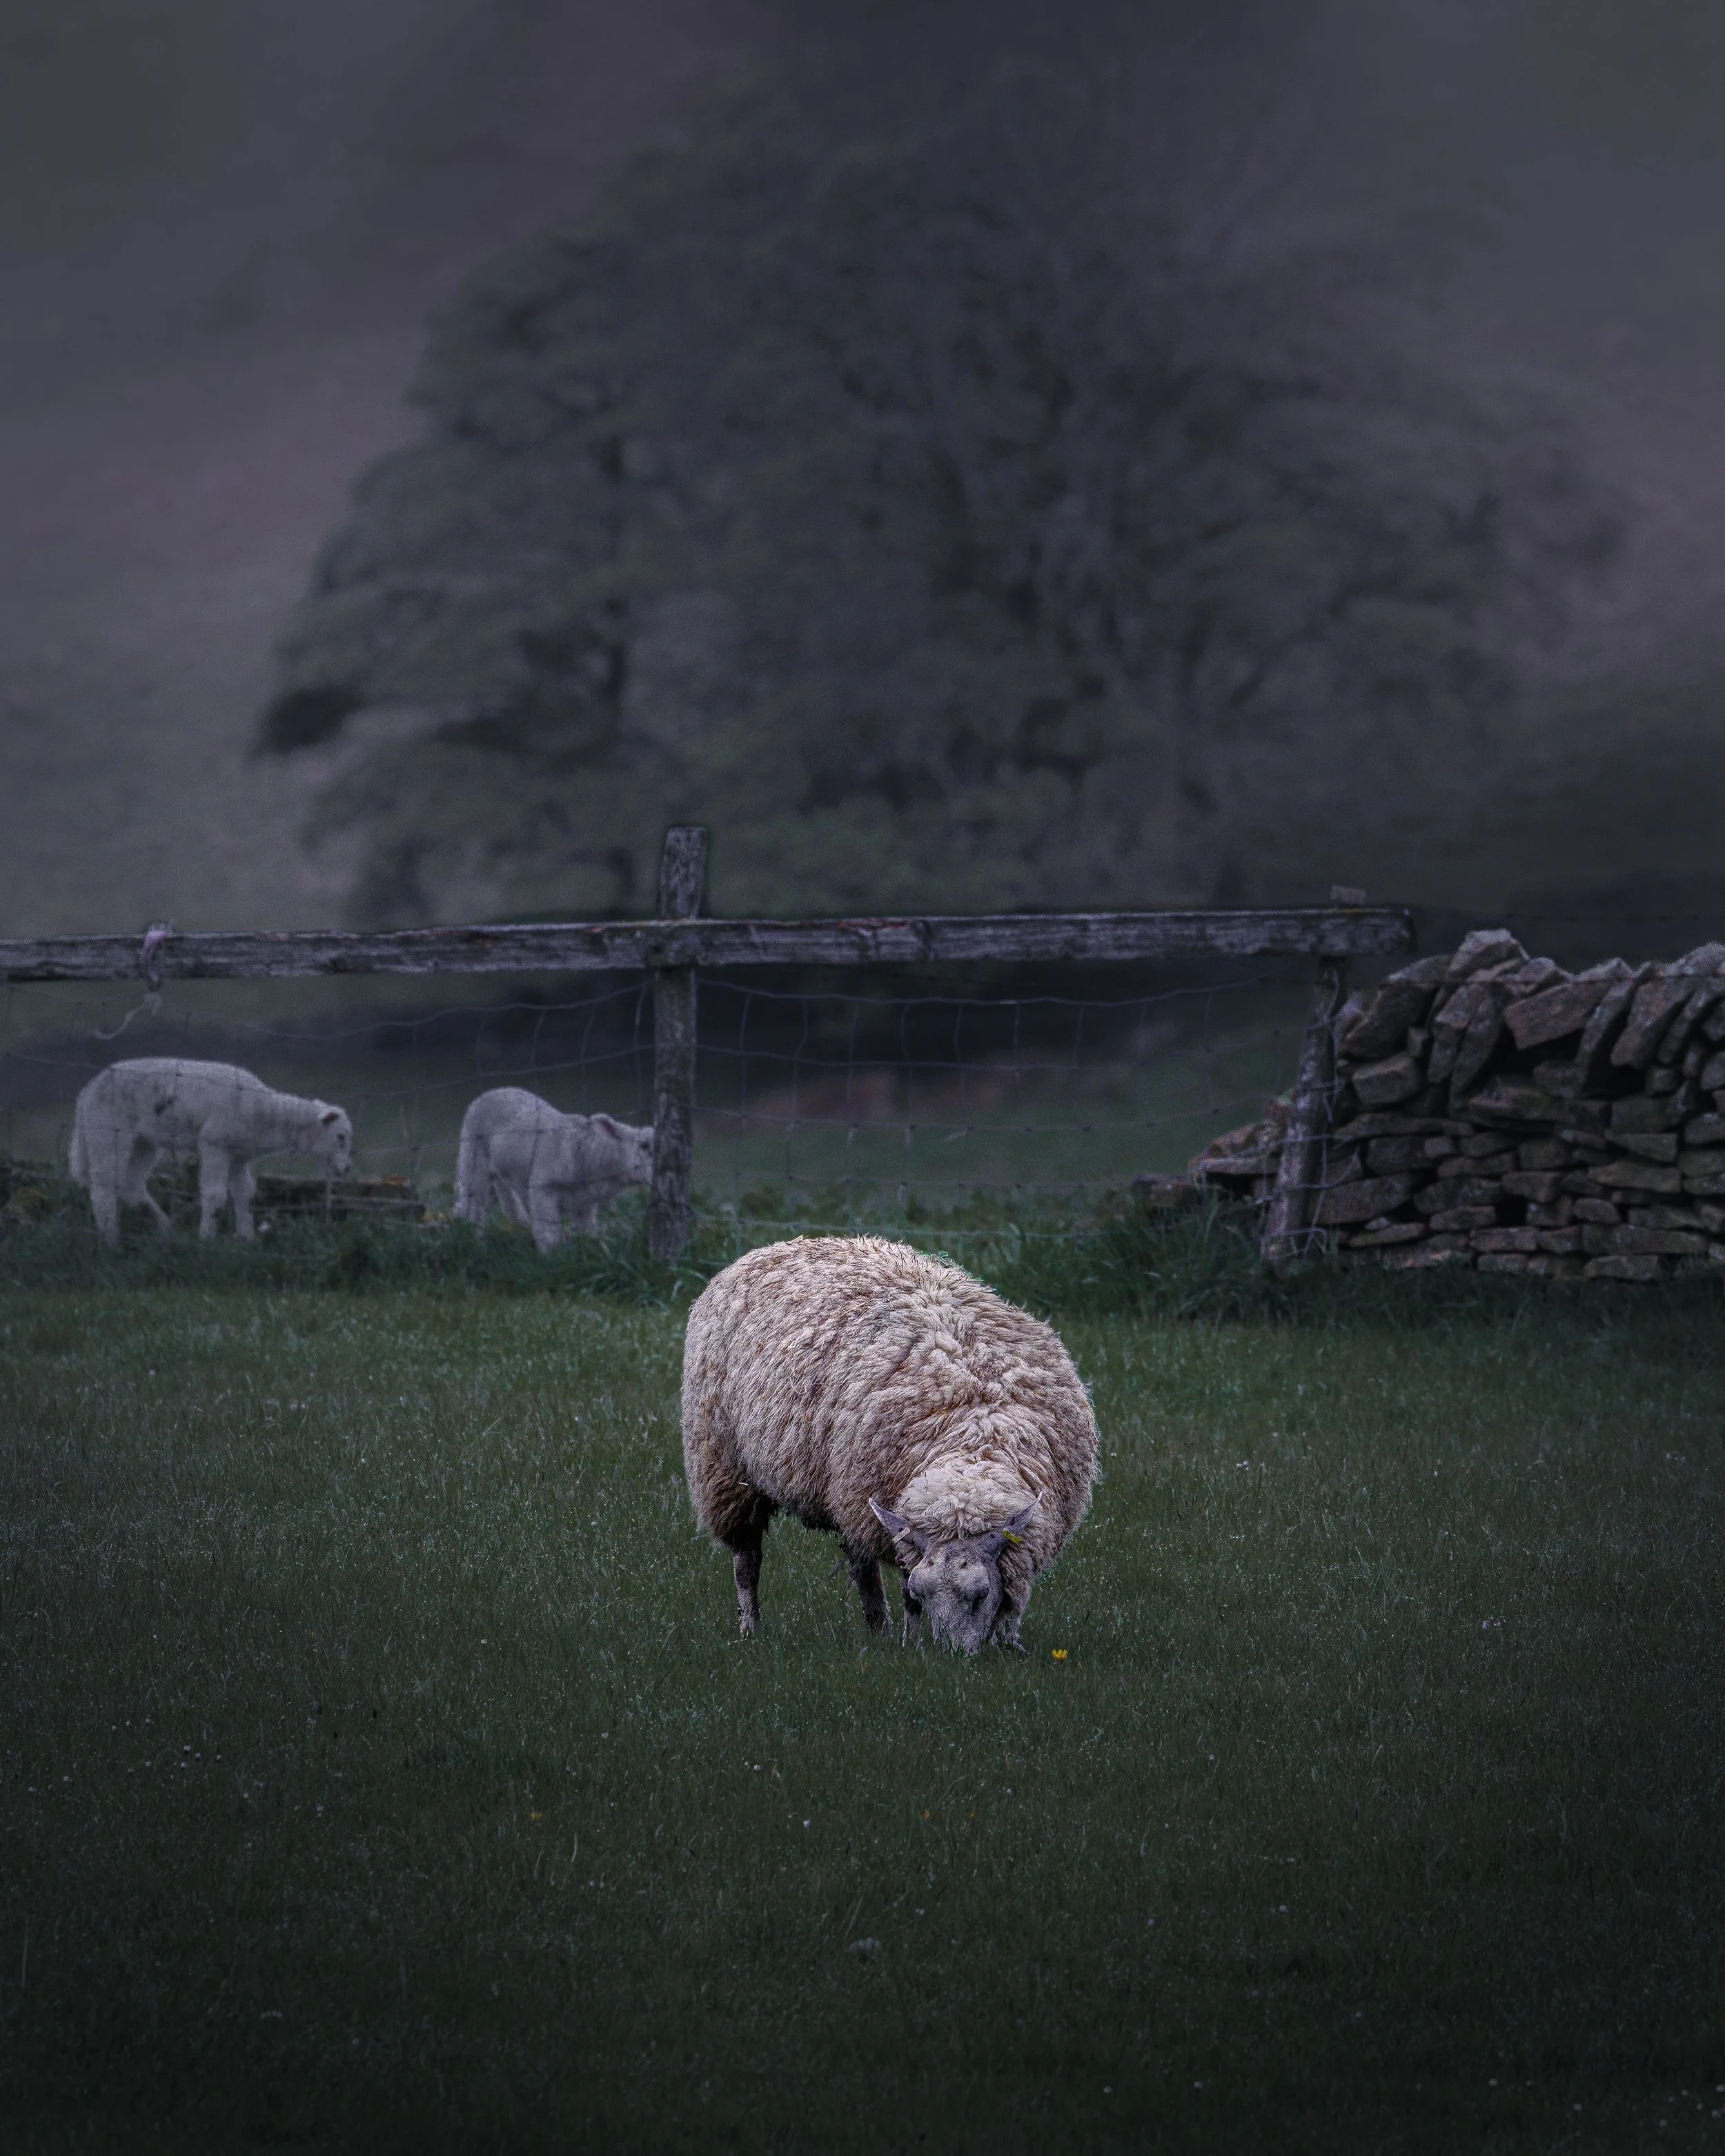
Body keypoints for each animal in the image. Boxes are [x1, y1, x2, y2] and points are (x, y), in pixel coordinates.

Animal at [69, 1057, 352, 1247]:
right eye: (340, 1137)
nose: (347, 1169)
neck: (267, 1113)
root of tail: (85, 1093)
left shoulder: (238, 1156)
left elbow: (244, 1192)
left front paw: (247, 1238)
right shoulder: (214, 1143)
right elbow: (215, 1195)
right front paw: (207, 1238)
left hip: (144, 1141)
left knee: (130, 1184)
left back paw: (166, 1229)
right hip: (107, 1131)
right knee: (103, 1185)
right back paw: (111, 1240)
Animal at [453, 1087, 654, 1252]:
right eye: (644, 1146)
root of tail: (492, 1091)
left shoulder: (586, 1202)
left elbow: (586, 1230)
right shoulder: (542, 1189)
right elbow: (548, 1234)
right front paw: (551, 1258)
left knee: (508, 1202)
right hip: (472, 1154)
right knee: (471, 1205)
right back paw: (472, 1241)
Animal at [681, 1235, 1098, 1652]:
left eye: (981, 1595)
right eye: (922, 1593)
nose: (953, 1657)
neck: (975, 1437)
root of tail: (781, 1245)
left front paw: (1007, 1641)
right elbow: (906, 1595)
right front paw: (912, 1645)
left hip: (842, 1491)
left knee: (858, 1560)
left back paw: (876, 1627)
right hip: (725, 1466)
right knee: (747, 1560)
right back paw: (752, 1628)